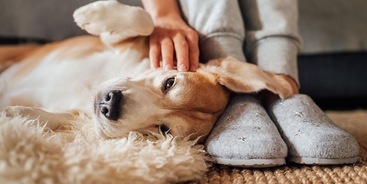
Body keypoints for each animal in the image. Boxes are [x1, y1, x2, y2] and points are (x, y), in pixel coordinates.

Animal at [0, 0, 294, 142]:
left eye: (163, 130)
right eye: (170, 82)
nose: (110, 105)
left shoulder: (79, 115)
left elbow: (57, 117)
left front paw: (15, 116)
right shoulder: (121, 44)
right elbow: (145, 21)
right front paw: (92, 15)